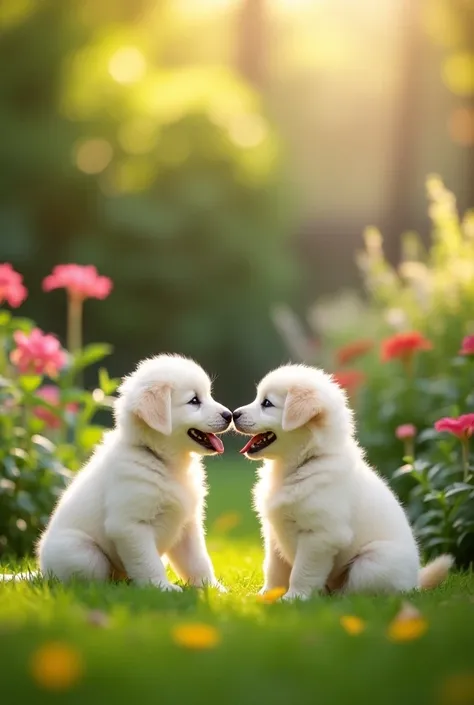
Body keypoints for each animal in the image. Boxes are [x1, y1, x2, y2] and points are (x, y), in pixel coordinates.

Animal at [36, 352, 231, 588]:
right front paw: (162, 588)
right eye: (194, 401)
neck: (165, 463)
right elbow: (148, 562)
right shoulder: (130, 525)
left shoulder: (188, 524)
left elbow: (198, 561)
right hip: (84, 554)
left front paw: (212, 588)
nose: (230, 415)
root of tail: (42, 573)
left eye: (208, 395)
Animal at [233, 364, 452, 600]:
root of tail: (415, 584)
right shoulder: (274, 533)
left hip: (372, 562)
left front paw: (294, 598)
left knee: (361, 590)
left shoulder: (320, 535)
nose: (233, 414)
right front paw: (266, 595)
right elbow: (274, 569)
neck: (303, 464)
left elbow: (301, 572)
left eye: (267, 403)